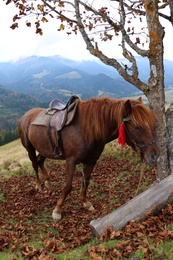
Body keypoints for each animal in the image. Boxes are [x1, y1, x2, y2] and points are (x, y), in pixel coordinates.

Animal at [17, 96, 159, 218]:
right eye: (137, 127)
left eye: (152, 124)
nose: (155, 156)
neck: (86, 130)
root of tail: (25, 116)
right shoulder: (71, 161)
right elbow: (67, 187)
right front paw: (57, 210)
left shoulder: (91, 161)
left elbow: (86, 182)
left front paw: (85, 203)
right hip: (30, 148)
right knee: (34, 164)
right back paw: (38, 185)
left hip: (45, 149)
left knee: (40, 161)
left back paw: (47, 180)